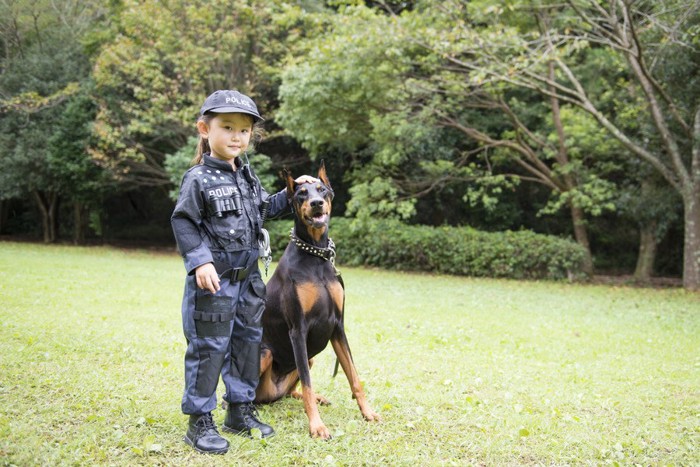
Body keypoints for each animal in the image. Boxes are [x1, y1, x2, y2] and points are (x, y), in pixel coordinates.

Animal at [254, 164, 380, 438]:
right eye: (301, 193)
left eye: (322, 189)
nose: (316, 203)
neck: (316, 255)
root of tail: (271, 394)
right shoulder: (298, 330)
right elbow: (308, 384)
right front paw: (317, 426)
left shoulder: (338, 326)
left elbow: (354, 376)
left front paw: (368, 412)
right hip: (265, 353)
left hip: (309, 358)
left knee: (291, 392)